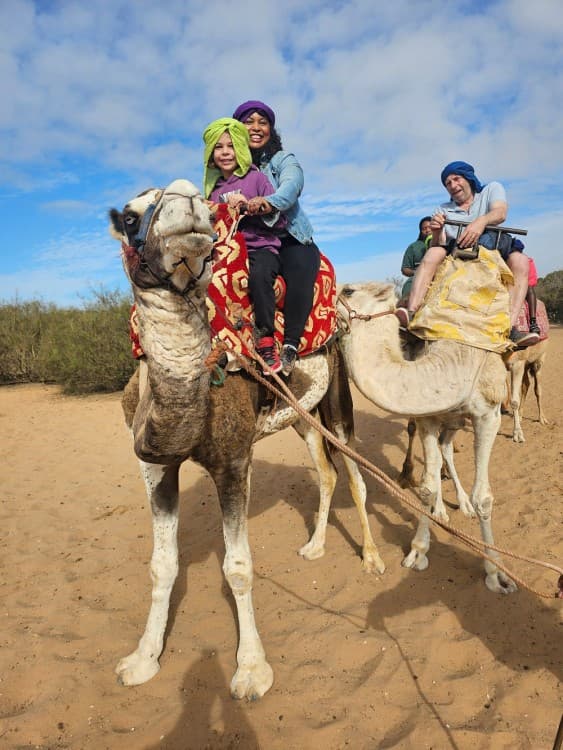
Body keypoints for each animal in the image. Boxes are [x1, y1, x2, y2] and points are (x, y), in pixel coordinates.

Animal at [108, 179, 383, 699]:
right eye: (130, 217)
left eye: (203, 204)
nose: (186, 198)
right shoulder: (154, 464)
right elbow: (162, 564)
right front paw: (141, 659)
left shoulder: (234, 461)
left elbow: (237, 567)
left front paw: (252, 671)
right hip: (301, 416)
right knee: (325, 470)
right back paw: (314, 547)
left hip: (337, 395)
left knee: (355, 471)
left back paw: (373, 560)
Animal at [337, 281, 517, 594]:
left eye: (347, 290)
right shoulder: (428, 418)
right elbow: (427, 488)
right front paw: (417, 552)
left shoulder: (488, 413)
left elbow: (483, 497)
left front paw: (496, 574)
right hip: (449, 418)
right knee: (444, 449)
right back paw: (446, 510)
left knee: (449, 450)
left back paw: (463, 506)